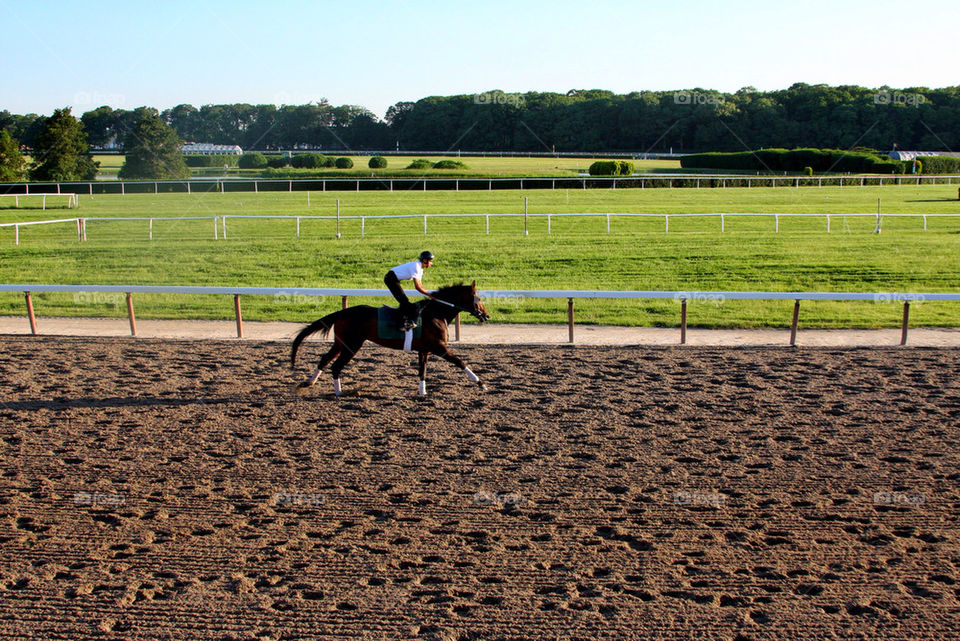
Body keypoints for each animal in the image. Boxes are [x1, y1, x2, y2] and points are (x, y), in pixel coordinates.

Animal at [290, 284, 488, 398]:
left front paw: (422, 392)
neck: (436, 313)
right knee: (336, 366)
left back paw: (309, 382)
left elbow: (422, 371)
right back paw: (340, 392)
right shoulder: (439, 347)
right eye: (478, 298)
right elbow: (460, 361)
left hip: (340, 343)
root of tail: (342, 312)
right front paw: (481, 383)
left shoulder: (424, 350)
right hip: (352, 345)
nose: (486, 315)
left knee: (324, 359)